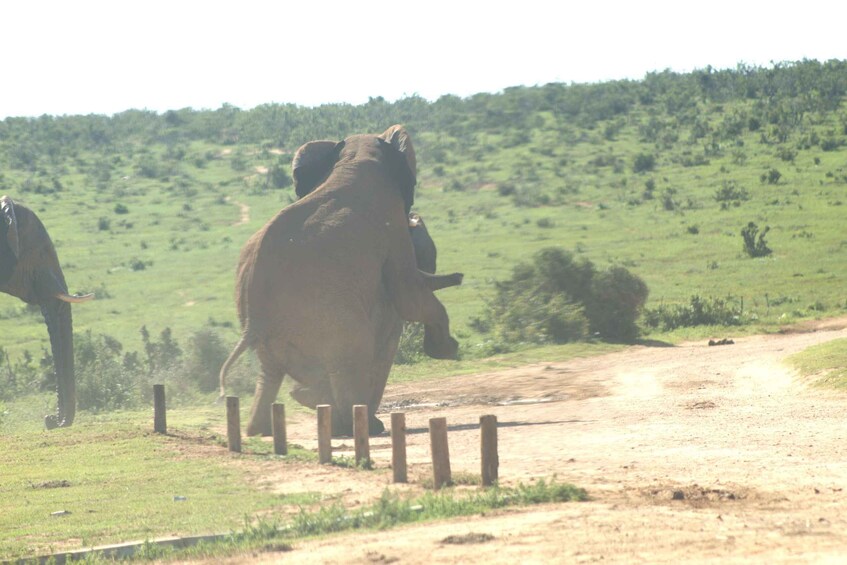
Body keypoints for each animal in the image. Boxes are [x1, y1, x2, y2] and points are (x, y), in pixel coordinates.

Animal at [218, 125, 462, 437]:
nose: (459, 276)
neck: (353, 155)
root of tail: (255, 315)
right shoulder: (392, 224)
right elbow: (408, 296)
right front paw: (449, 349)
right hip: (328, 315)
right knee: (354, 353)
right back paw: (362, 426)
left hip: (272, 328)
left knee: (270, 371)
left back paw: (265, 427)